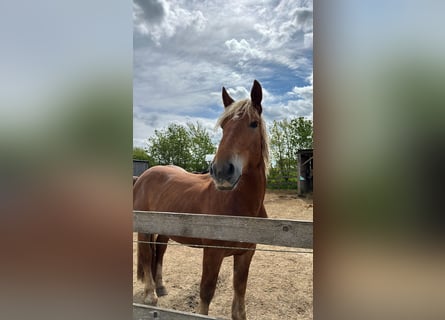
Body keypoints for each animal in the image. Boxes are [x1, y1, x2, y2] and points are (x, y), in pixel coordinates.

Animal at [134, 80, 268, 320]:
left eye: (253, 124)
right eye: (223, 126)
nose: (222, 170)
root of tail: (144, 175)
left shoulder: (246, 254)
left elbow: (240, 291)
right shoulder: (212, 252)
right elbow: (206, 291)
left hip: (165, 231)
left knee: (159, 252)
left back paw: (160, 287)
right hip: (144, 229)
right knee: (147, 256)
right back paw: (150, 295)